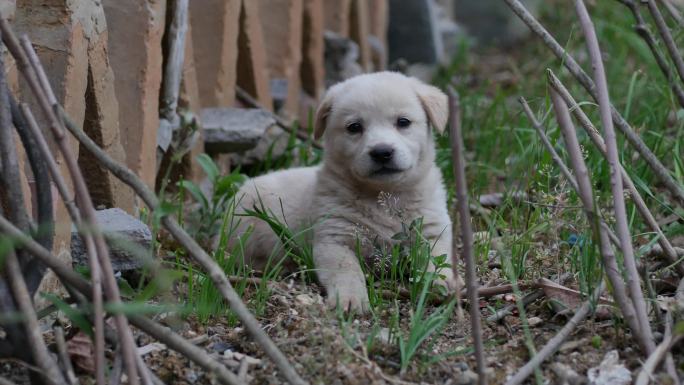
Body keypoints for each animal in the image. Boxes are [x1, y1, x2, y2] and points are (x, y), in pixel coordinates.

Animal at [230, 72, 460, 312]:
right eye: (354, 127)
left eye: (403, 122)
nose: (382, 152)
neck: (385, 196)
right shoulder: (334, 238)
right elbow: (346, 269)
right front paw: (351, 298)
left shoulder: (432, 229)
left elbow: (437, 255)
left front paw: (445, 281)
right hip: (245, 231)